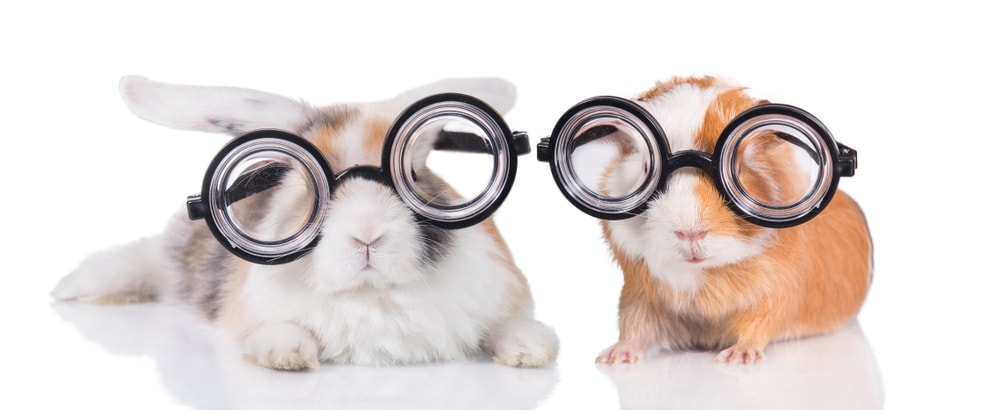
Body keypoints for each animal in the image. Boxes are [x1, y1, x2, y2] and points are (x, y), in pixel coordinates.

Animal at [50, 75, 560, 370]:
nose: (367, 235)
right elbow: (278, 330)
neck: (371, 295)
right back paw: (79, 287)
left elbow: (510, 326)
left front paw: (529, 351)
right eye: (309, 190)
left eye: (415, 176)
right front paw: (288, 355)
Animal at [588, 76, 872, 366]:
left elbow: (758, 326)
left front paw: (736, 358)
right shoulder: (638, 295)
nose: (690, 233)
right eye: (647, 168)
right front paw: (612, 358)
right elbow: (633, 325)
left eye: (738, 169)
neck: (704, 278)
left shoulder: (776, 294)